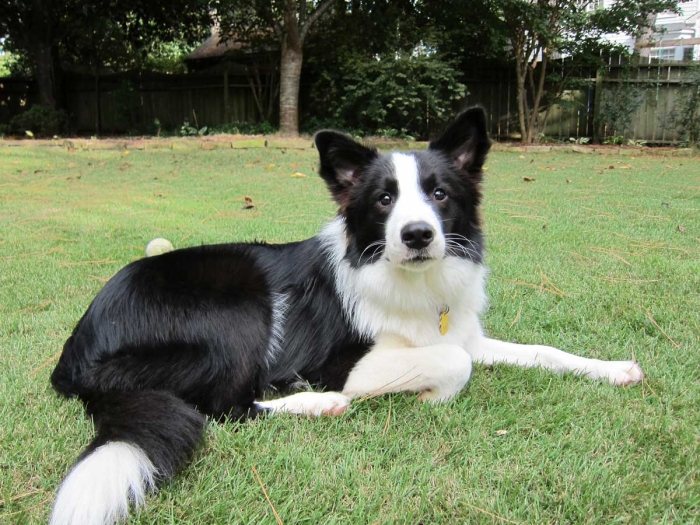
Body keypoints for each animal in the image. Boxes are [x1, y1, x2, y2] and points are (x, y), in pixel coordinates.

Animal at [46, 107, 644, 524]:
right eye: (383, 200)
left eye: (440, 194)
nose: (417, 235)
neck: (408, 281)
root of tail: (75, 358)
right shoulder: (347, 363)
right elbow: (454, 363)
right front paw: (431, 395)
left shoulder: (464, 332)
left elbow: (540, 350)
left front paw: (614, 369)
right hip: (239, 308)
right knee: (225, 408)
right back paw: (317, 404)